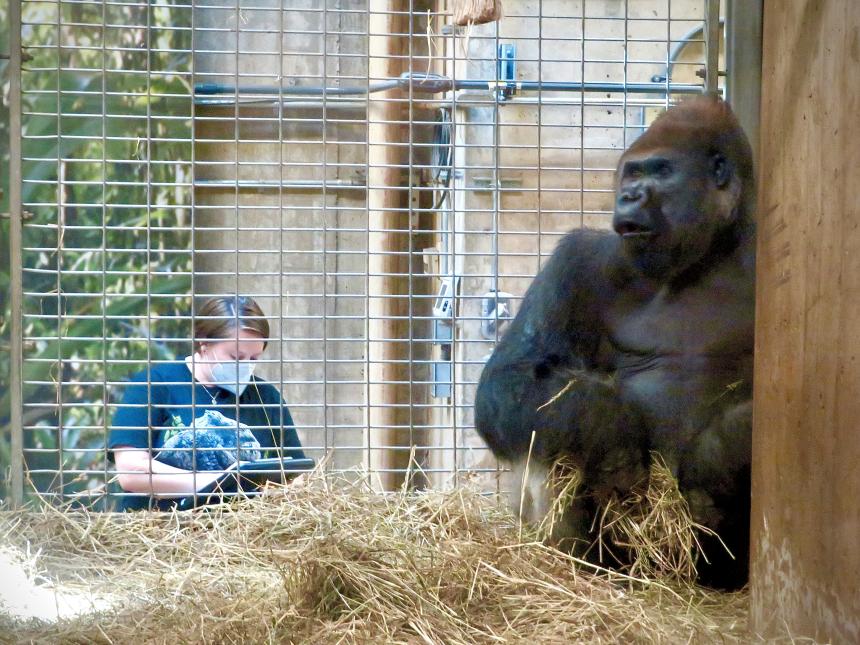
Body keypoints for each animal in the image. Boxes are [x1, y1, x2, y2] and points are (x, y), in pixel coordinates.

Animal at [478, 95, 752, 588]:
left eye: (660, 171)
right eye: (630, 175)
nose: (629, 197)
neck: (708, 257)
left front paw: (715, 457)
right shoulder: (582, 259)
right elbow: (515, 376)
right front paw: (612, 426)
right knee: (549, 427)